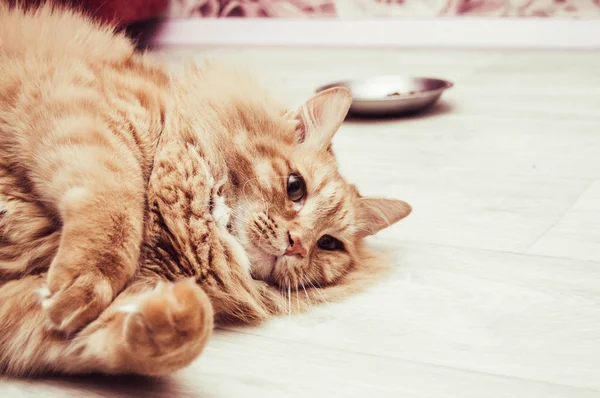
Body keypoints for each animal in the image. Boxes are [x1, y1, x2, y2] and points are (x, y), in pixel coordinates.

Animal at [0, 2, 412, 376]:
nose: (296, 244)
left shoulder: (19, 314)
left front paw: (168, 313)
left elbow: (163, 337)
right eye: (296, 187)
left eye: (328, 244)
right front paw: (87, 283)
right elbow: (115, 212)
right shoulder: (82, 113)